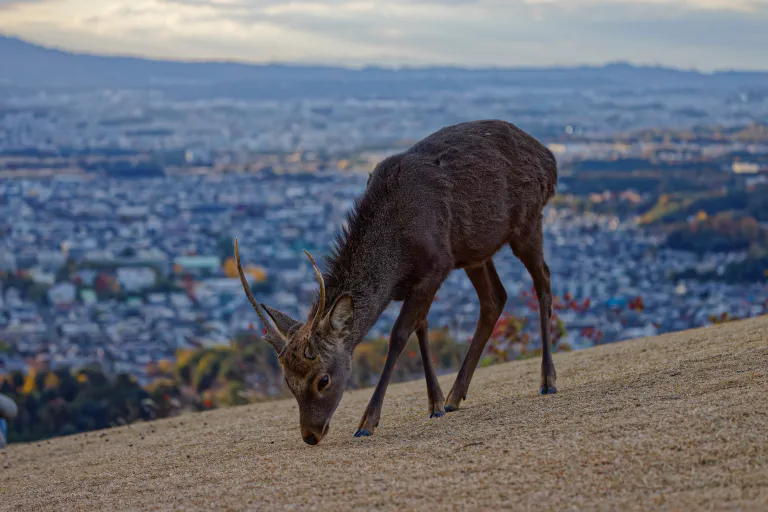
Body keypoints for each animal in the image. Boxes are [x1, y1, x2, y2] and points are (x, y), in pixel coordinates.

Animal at [234, 119, 560, 444]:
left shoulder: (436, 267)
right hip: (475, 251)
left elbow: (400, 335)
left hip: (528, 223)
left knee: (543, 280)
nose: (311, 435)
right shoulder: (421, 280)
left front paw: (367, 422)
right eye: (288, 382)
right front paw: (435, 404)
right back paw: (455, 396)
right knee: (495, 298)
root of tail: (549, 159)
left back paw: (547, 380)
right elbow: (422, 328)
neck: (396, 256)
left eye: (323, 379)